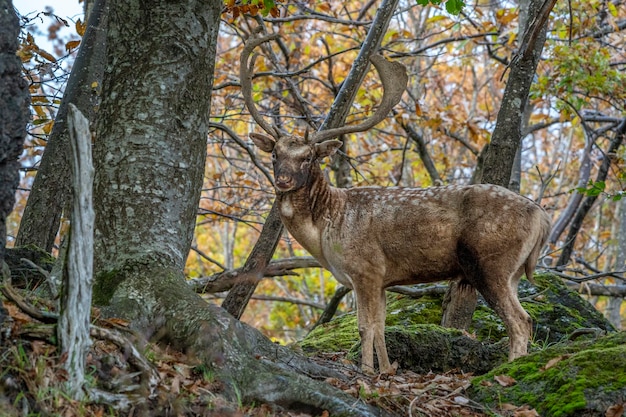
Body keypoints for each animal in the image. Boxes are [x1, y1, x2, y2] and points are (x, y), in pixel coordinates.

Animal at [241, 34, 548, 372]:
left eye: (308, 157)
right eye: (274, 154)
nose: (283, 180)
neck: (326, 229)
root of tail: (542, 217)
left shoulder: (366, 268)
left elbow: (365, 325)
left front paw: (365, 370)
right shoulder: (383, 279)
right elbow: (380, 325)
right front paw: (386, 369)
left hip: (492, 263)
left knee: (521, 320)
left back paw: (508, 370)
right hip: (514, 272)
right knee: (523, 317)